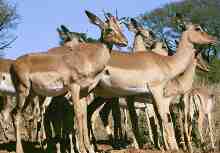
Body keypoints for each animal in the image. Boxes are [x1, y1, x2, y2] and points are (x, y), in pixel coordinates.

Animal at [9, 9, 127, 153]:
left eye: (121, 27)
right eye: (110, 29)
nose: (125, 42)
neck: (87, 60)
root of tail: (13, 64)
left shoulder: (83, 93)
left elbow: (84, 115)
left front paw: (89, 148)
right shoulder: (74, 88)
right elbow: (77, 114)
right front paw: (82, 149)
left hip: (31, 94)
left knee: (19, 114)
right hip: (23, 92)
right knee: (16, 114)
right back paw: (20, 149)